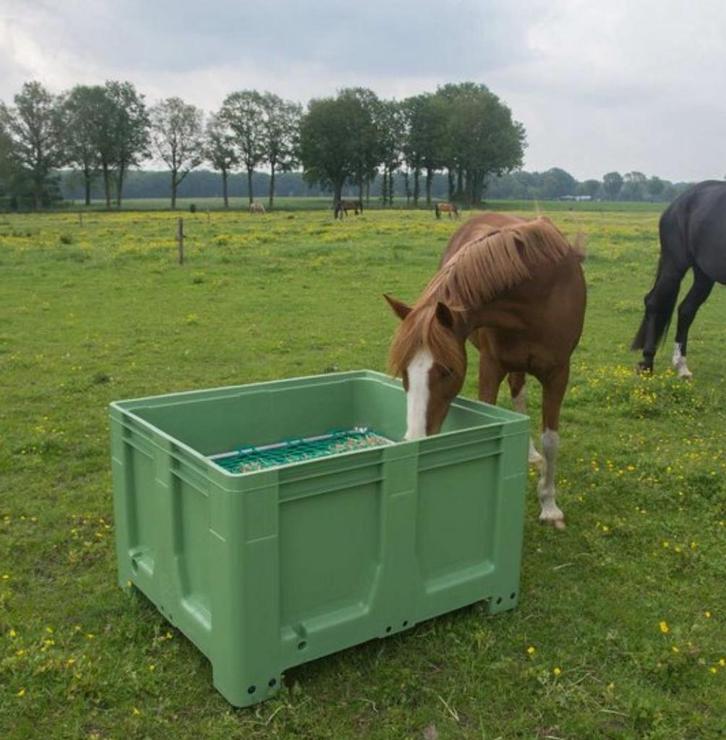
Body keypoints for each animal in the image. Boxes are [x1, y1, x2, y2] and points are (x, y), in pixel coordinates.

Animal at [386, 212, 586, 529]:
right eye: (404, 372)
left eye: (448, 370)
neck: (536, 294)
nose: (415, 439)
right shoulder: (490, 366)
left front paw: (550, 505)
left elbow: (551, 440)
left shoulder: (558, 373)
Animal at [632, 180, 726, 378]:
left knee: (686, 310)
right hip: (674, 266)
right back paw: (647, 363)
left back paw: (681, 366)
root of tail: (675, 204)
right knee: (654, 302)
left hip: (703, 275)